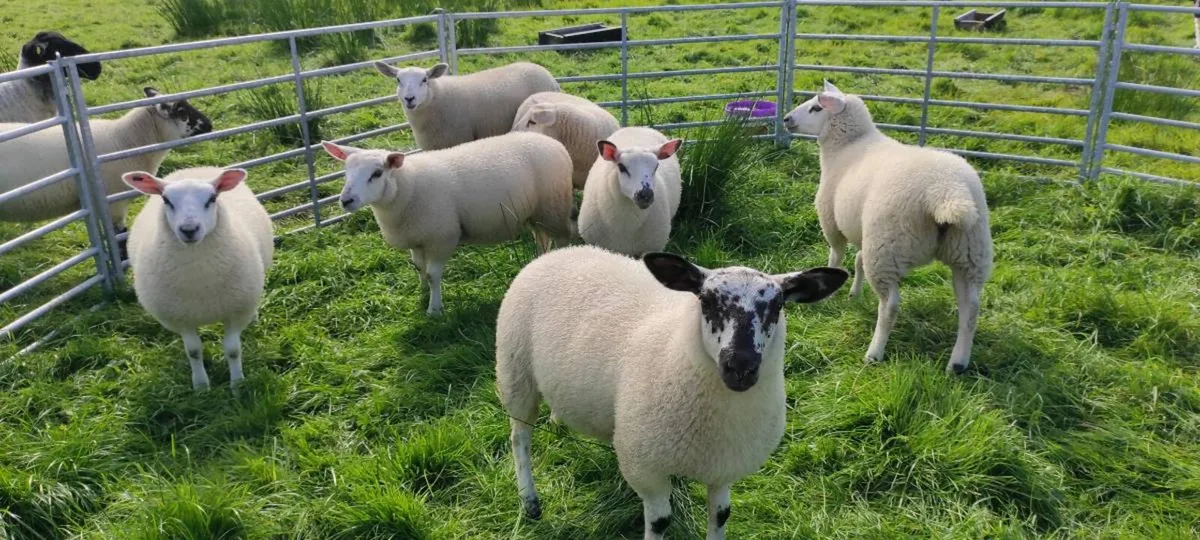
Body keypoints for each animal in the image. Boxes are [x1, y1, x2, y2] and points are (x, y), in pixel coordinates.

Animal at [121, 167, 274, 391]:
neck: (200, 280)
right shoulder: (182, 317)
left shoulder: (235, 311)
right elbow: (193, 352)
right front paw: (201, 386)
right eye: (166, 200)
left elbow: (233, 350)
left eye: (212, 198)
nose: (189, 230)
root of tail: (193, 168)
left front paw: (237, 384)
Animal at [321, 131, 574, 316]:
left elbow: (434, 275)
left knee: (562, 239)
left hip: (553, 207)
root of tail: (555, 144)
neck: (407, 187)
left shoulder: (442, 237)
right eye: (346, 172)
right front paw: (422, 291)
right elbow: (419, 268)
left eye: (376, 173)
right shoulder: (417, 238)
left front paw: (434, 309)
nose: (346, 201)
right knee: (542, 239)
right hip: (537, 214)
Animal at [496, 245, 847, 539]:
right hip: (516, 373)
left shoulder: (725, 466)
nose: (740, 366)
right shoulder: (646, 469)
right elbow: (660, 522)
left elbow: (721, 515)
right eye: (705, 301)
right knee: (519, 438)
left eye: (777, 306)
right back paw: (529, 501)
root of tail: (560, 251)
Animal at [783, 81, 994, 374]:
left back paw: (874, 352)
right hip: (969, 252)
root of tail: (947, 193)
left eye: (816, 107)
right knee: (970, 308)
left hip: (887, 248)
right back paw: (958, 362)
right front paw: (854, 293)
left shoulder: (832, 222)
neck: (849, 145)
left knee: (890, 306)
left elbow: (836, 257)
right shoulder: (863, 230)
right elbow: (858, 261)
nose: (786, 119)